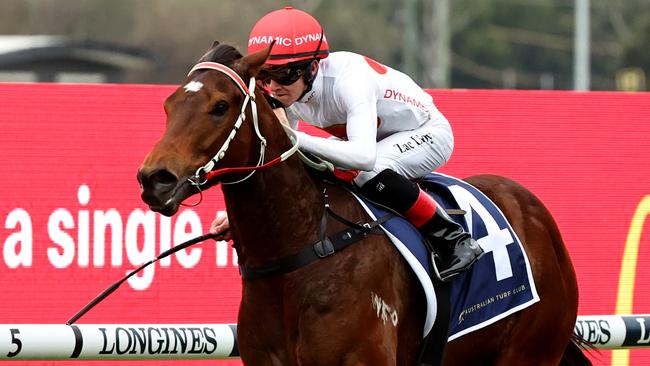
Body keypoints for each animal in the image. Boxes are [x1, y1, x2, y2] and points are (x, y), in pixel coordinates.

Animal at [135, 41, 588, 364]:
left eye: (220, 106)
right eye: (169, 104)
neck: (302, 247)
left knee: (377, 169)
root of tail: (531, 207)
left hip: (529, 351)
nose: (154, 179)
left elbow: (365, 158)